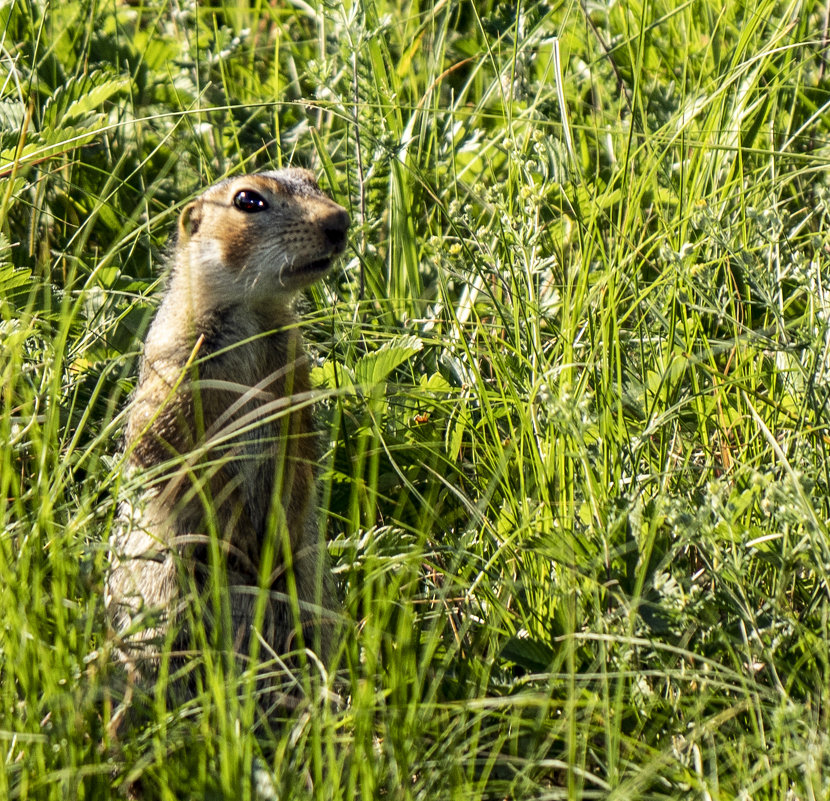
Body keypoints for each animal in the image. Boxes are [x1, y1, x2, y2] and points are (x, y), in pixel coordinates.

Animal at [105, 167, 350, 700]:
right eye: (248, 201)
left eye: (312, 178)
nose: (340, 221)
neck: (253, 314)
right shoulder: (176, 371)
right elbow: (175, 457)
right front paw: (238, 541)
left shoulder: (293, 372)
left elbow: (300, 458)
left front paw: (279, 536)